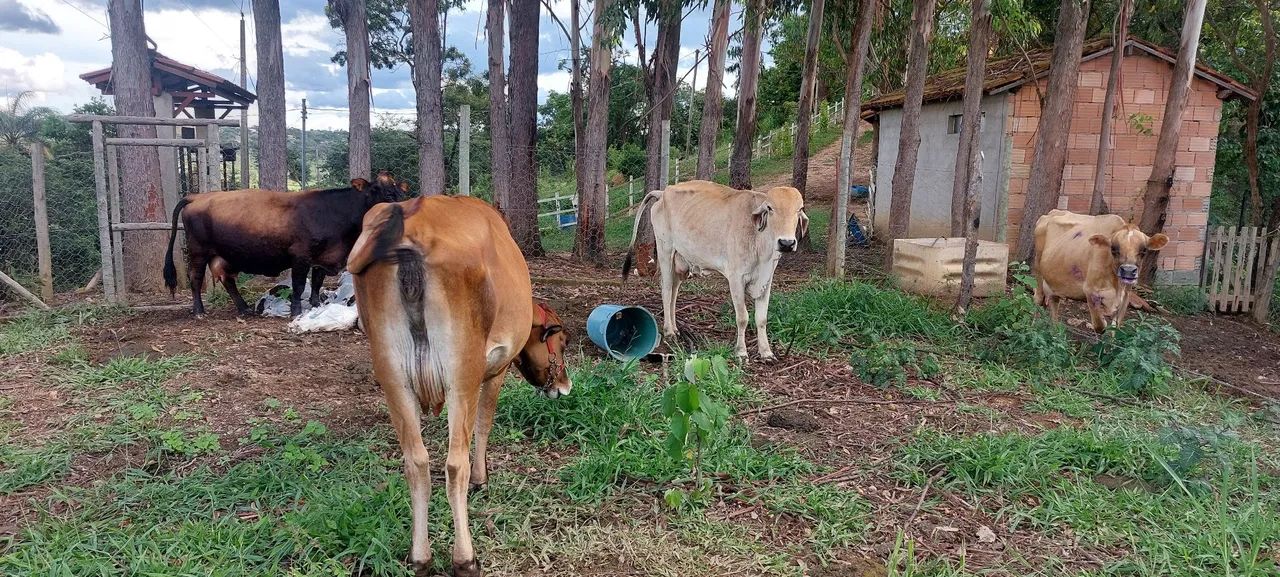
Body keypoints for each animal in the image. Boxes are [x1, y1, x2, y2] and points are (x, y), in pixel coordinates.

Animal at [162, 173, 406, 317]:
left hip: (222, 255)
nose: (396, 203)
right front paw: (297, 311)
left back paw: (244, 308)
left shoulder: (322, 257)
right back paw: (198, 310)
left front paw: (315, 305)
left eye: (398, 191)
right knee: (196, 279)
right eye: (376, 190)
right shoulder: (300, 256)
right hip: (198, 251)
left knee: (227, 280)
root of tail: (198, 196)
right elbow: (298, 285)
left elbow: (316, 283)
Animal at [347, 195, 573, 577]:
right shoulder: (494, 370)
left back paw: (420, 556)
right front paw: (483, 478)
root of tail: (411, 225)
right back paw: (465, 558)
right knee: (455, 464)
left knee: (416, 462)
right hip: (460, 375)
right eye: (563, 341)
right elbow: (484, 425)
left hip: (393, 377)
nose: (566, 386)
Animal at [623, 180, 807, 362]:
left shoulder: (766, 279)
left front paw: (766, 352)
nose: (786, 243)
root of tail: (663, 192)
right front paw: (741, 352)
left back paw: (675, 328)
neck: (760, 244)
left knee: (674, 293)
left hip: (680, 262)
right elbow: (743, 317)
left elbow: (761, 318)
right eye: (770, 208)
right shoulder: (736, 278)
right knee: (667, 290)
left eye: (799, 209)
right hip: (665, 251)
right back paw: (669, 331)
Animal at [1033, 209, 1169, 332]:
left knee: (1053, 302)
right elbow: (1100, 326)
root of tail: (1052, 212)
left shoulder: (1125, 297)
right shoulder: (1090, 291)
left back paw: (1054, 332)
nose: (1128, 271)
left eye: (1144, 250)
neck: (1117, 286)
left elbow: (1115, 329)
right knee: (1039, 298)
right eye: (1113, 249)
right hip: (1038, 268)